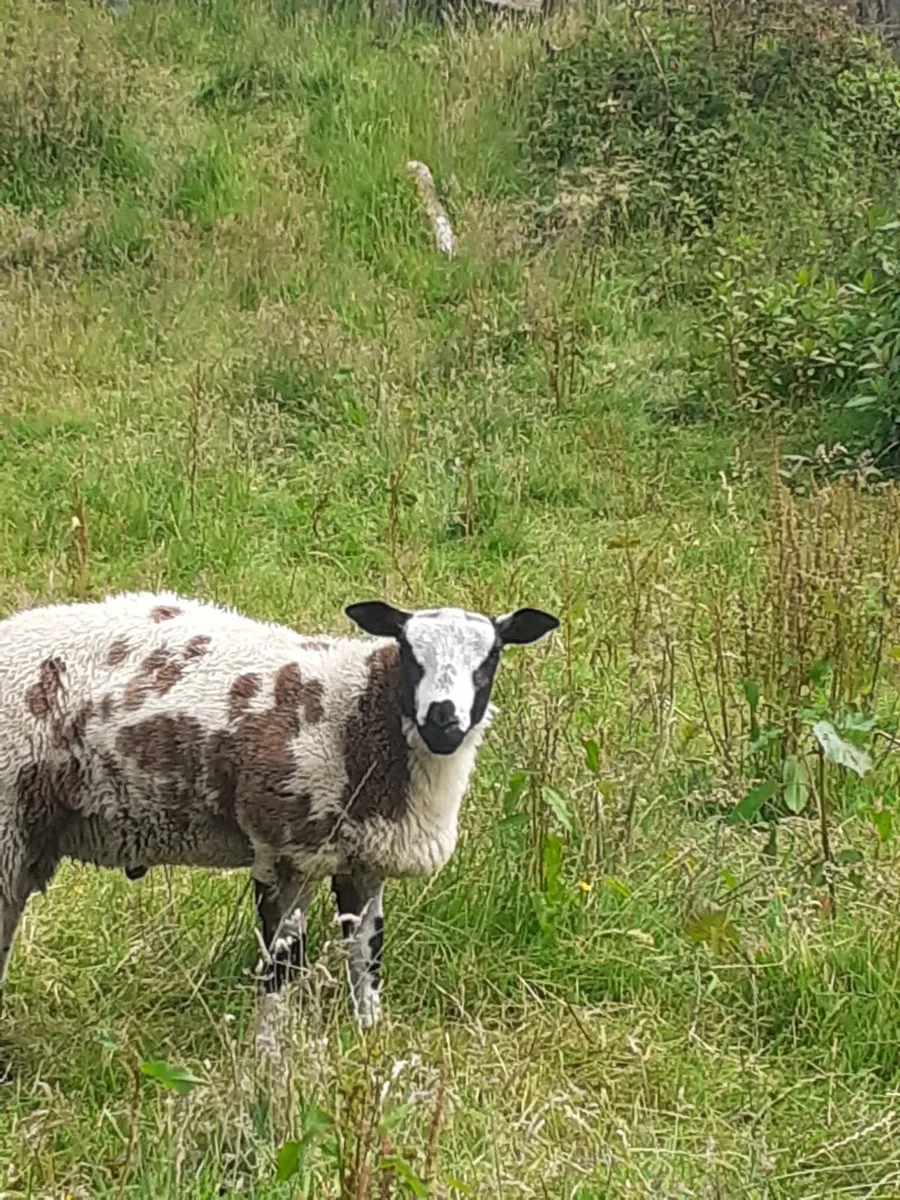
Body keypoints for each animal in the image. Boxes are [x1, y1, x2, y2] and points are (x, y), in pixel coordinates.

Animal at [0, 591, 558, 1029]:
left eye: (491, 657)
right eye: (407, 650)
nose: (443, 719)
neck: (353, 714)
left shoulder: (362, 862)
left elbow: (366, 959)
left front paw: (369, 1042)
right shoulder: (285, 853)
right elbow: (281, 971)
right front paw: (272, 1066)